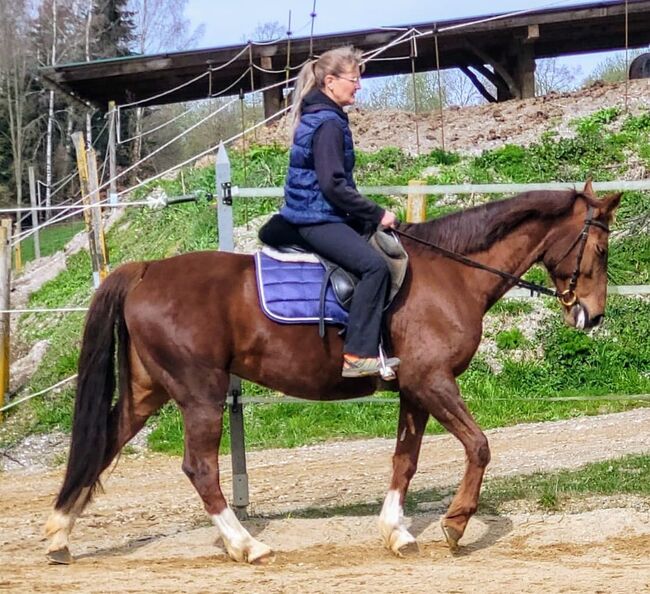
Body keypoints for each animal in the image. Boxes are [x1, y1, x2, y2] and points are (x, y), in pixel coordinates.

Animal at [44, 183, 616, 560]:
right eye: (601, 248)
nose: (593, 315)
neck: (451, 273)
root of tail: (144, 271)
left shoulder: (414, 389)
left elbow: (404, 460)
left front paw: (396, 531)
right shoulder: (433, 381)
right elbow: (479, 446)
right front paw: (455, 524)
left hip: (149, 391)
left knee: (105, 441)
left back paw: (59, 534)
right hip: (200, 393)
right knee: (200, 469)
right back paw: (246, 544)